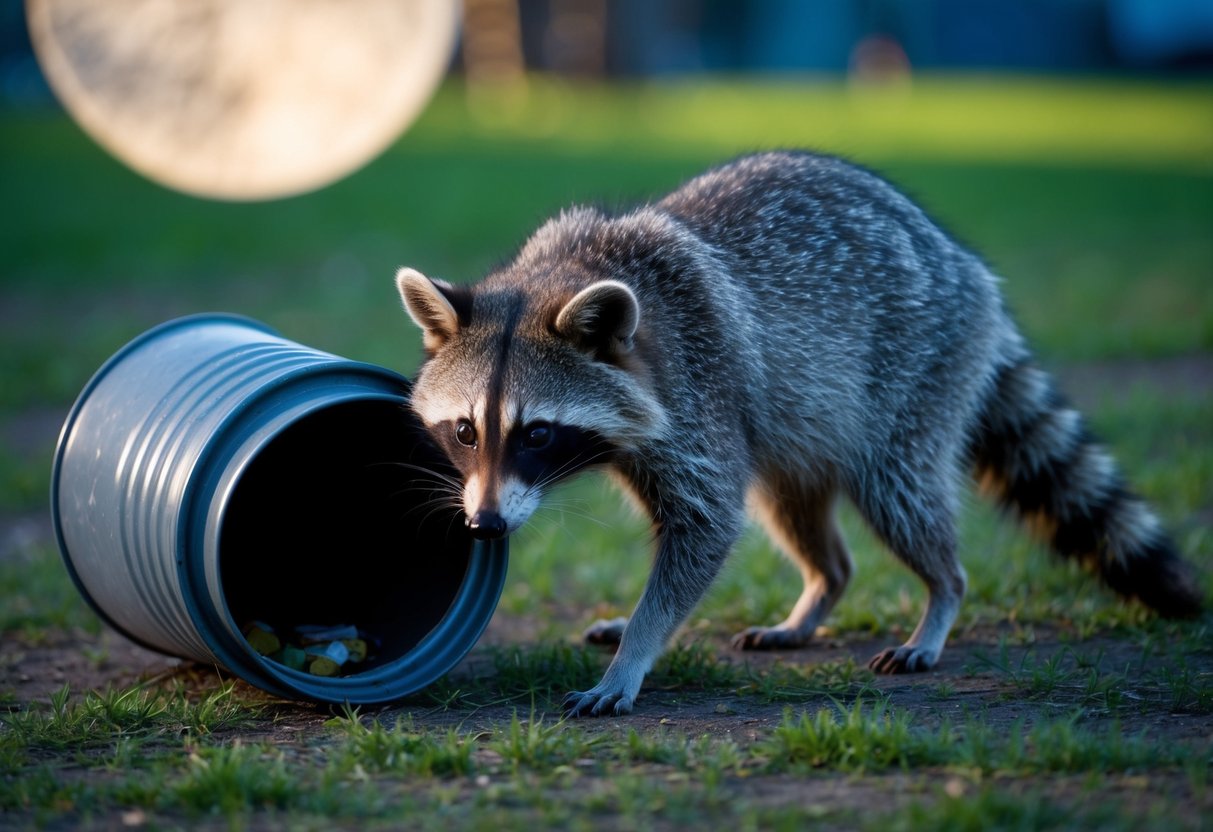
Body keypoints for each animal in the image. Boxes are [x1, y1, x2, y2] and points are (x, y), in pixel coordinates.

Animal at [395, 150, 1202, 717]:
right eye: (465, 430)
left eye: (536, 433)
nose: (484, 524)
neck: (566, 271)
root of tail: (964, 264)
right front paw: (632, 629)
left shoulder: (700, 395)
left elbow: (706, 527)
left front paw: (637, 650)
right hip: (800, 427)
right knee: (794, 510)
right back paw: (821, 587)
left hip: (917, 370)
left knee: (900, 491)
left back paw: (941, 596)